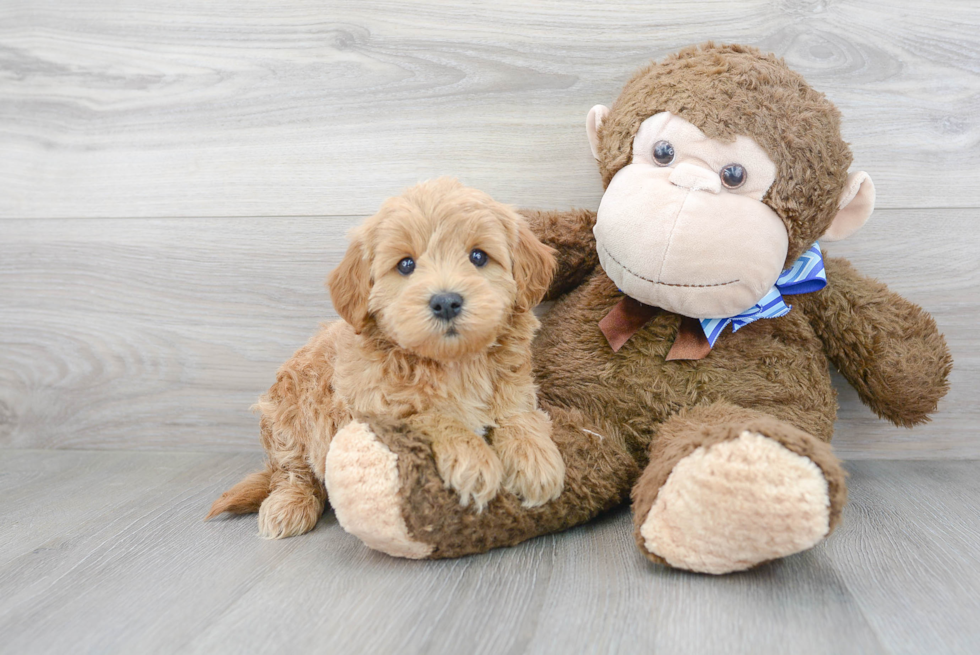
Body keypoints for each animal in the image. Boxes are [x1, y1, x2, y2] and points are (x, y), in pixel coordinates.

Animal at [208, 178, 564, 540]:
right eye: (406, 265)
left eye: (478, 256)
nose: (446, 302)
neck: (453, 363)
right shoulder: (374, 407)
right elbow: (431, 415)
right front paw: (472, 458)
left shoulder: (515, 387)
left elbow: (518, 416)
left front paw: (535, 460)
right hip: (287, 418)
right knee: (291, 470)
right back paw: (289, 505)